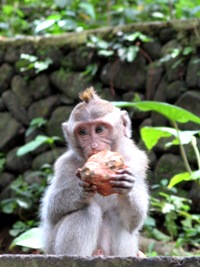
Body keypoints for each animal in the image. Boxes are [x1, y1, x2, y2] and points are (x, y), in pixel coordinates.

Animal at [39, 88, 148, 258]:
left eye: (99, 129)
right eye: (83, 132)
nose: (94, 145)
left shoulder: (136, 162)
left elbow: (134, 221)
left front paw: (126, 185)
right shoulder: (65, 165)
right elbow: (51, 214)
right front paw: (80, 193)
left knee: (117, 217)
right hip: (52, 249)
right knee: (87, 210)